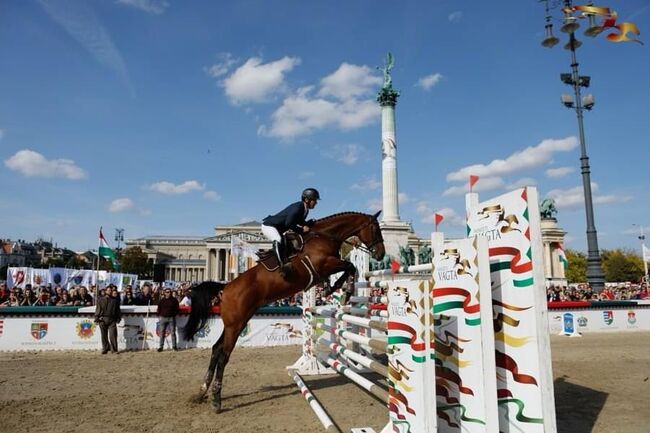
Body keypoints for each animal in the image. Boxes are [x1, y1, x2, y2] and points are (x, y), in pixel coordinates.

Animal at [181, 212, 384, 412]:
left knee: (216, 350)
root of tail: (225, 288)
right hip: (236, 324)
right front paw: (343, 290)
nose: (381, 254)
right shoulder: (324, 264)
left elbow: (348, 267)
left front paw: (334, 289)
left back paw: (202, 392)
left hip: (234, 323)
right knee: (223, 356)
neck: (323, 237)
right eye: (375, 228)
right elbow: (350, 266)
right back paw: (216, 400)